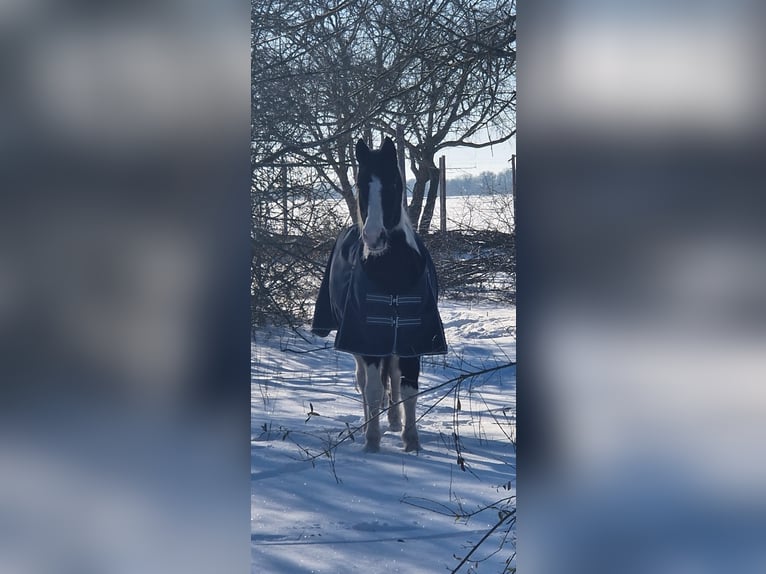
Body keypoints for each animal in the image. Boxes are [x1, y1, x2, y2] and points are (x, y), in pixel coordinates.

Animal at [312, 137, 447, 452]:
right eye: (361, 184)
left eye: (395, 183)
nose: (374, 238)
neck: (393, 275)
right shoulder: (367, 338)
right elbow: (373, 390)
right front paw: (372, 442)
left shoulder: (411, 339)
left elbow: (408, 388)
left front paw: (412, 441)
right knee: (363, 382)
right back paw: (368, 426)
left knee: (393, 379)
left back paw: (395, 422)